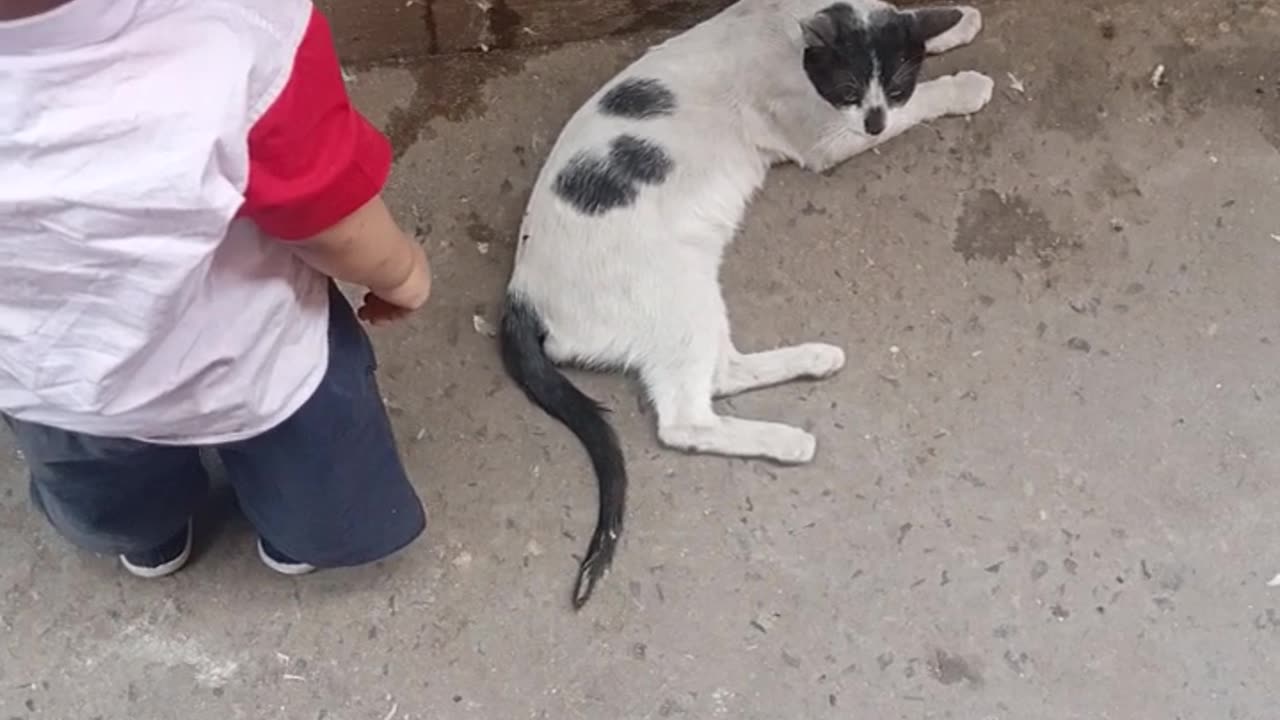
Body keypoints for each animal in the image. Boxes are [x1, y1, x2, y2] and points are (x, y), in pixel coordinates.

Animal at [496, 0, 988, 604]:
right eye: (849, 88)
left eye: (894, 84)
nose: (874, 120)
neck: (786, 29)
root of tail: (520, 294)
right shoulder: (829, 137)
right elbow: (923, 105)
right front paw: (964, 86)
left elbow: (916, 28)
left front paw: (959, 21)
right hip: (682, 294)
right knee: (684, 420)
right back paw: (788, 439)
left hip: (700, 295)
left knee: (723, 375)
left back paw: (814, 360)